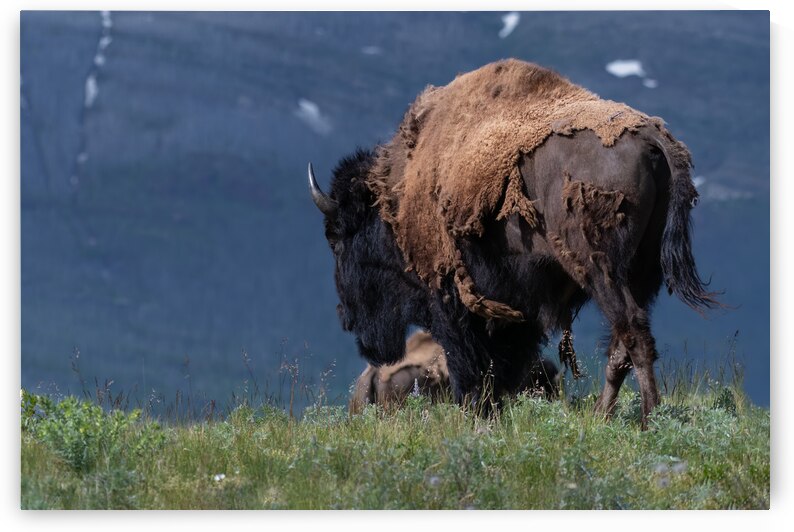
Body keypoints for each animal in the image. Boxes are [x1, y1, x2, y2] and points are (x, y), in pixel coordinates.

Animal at [310, 60, 717, 427]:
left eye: (337, 238)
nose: (345, 316)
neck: (398, 194)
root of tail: (652, 137)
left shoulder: (455, 303)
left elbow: (474, 366)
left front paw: (479, 416)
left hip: (600, 268)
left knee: (631, 332)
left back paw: (648, 418)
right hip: (642, 271)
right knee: (623, 344)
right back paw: (604, 417)